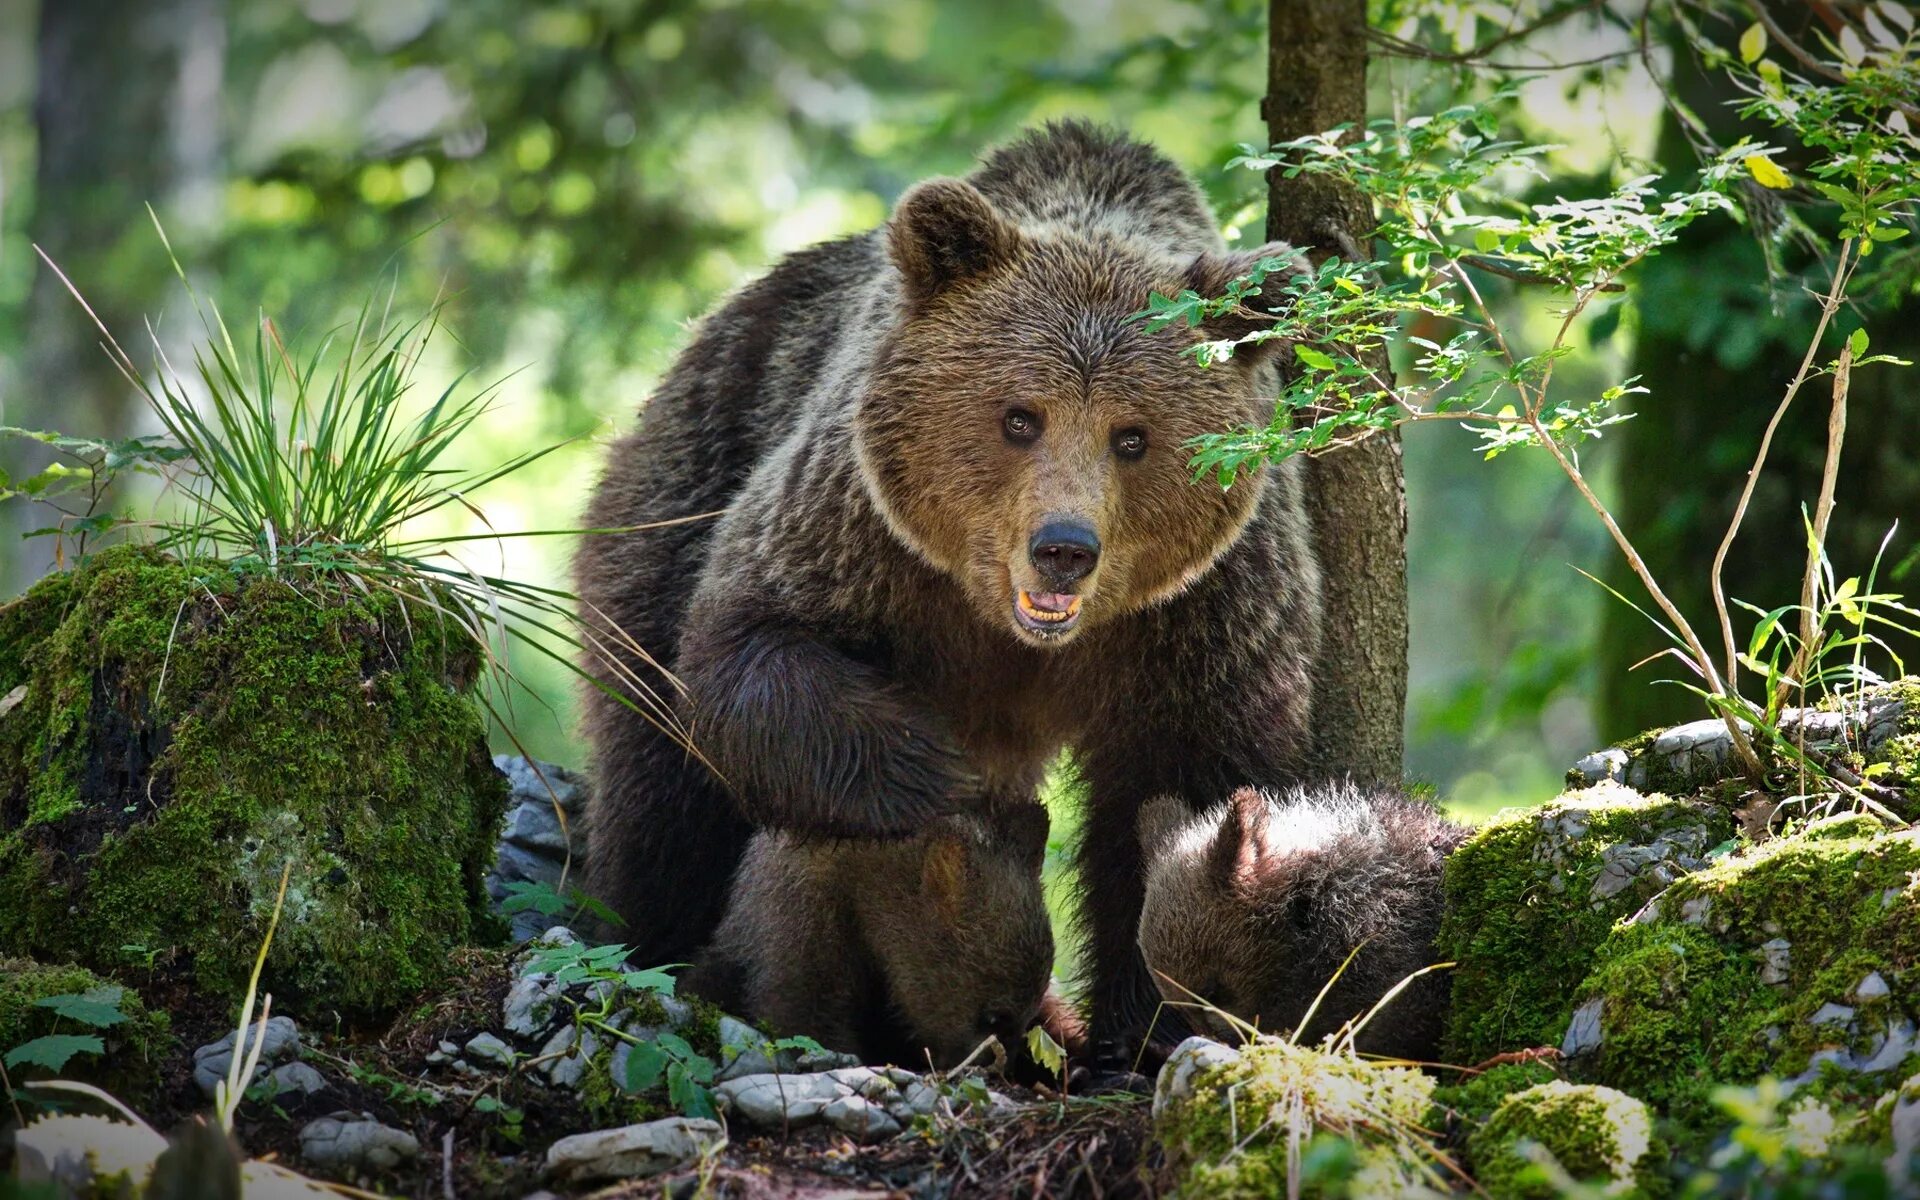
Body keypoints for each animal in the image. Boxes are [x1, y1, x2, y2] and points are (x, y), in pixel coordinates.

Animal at [568, 121, 1320, 1067]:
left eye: (1133, 437)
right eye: (1019, 417)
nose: (1063, 550)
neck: (1019, 634)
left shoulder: (1204, 613)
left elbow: (1182, 794)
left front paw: (1139, 1030)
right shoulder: (861, 532)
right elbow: (753, 648)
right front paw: (935, 772)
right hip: (683, 477)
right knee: (658, 772)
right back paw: (647, 940)